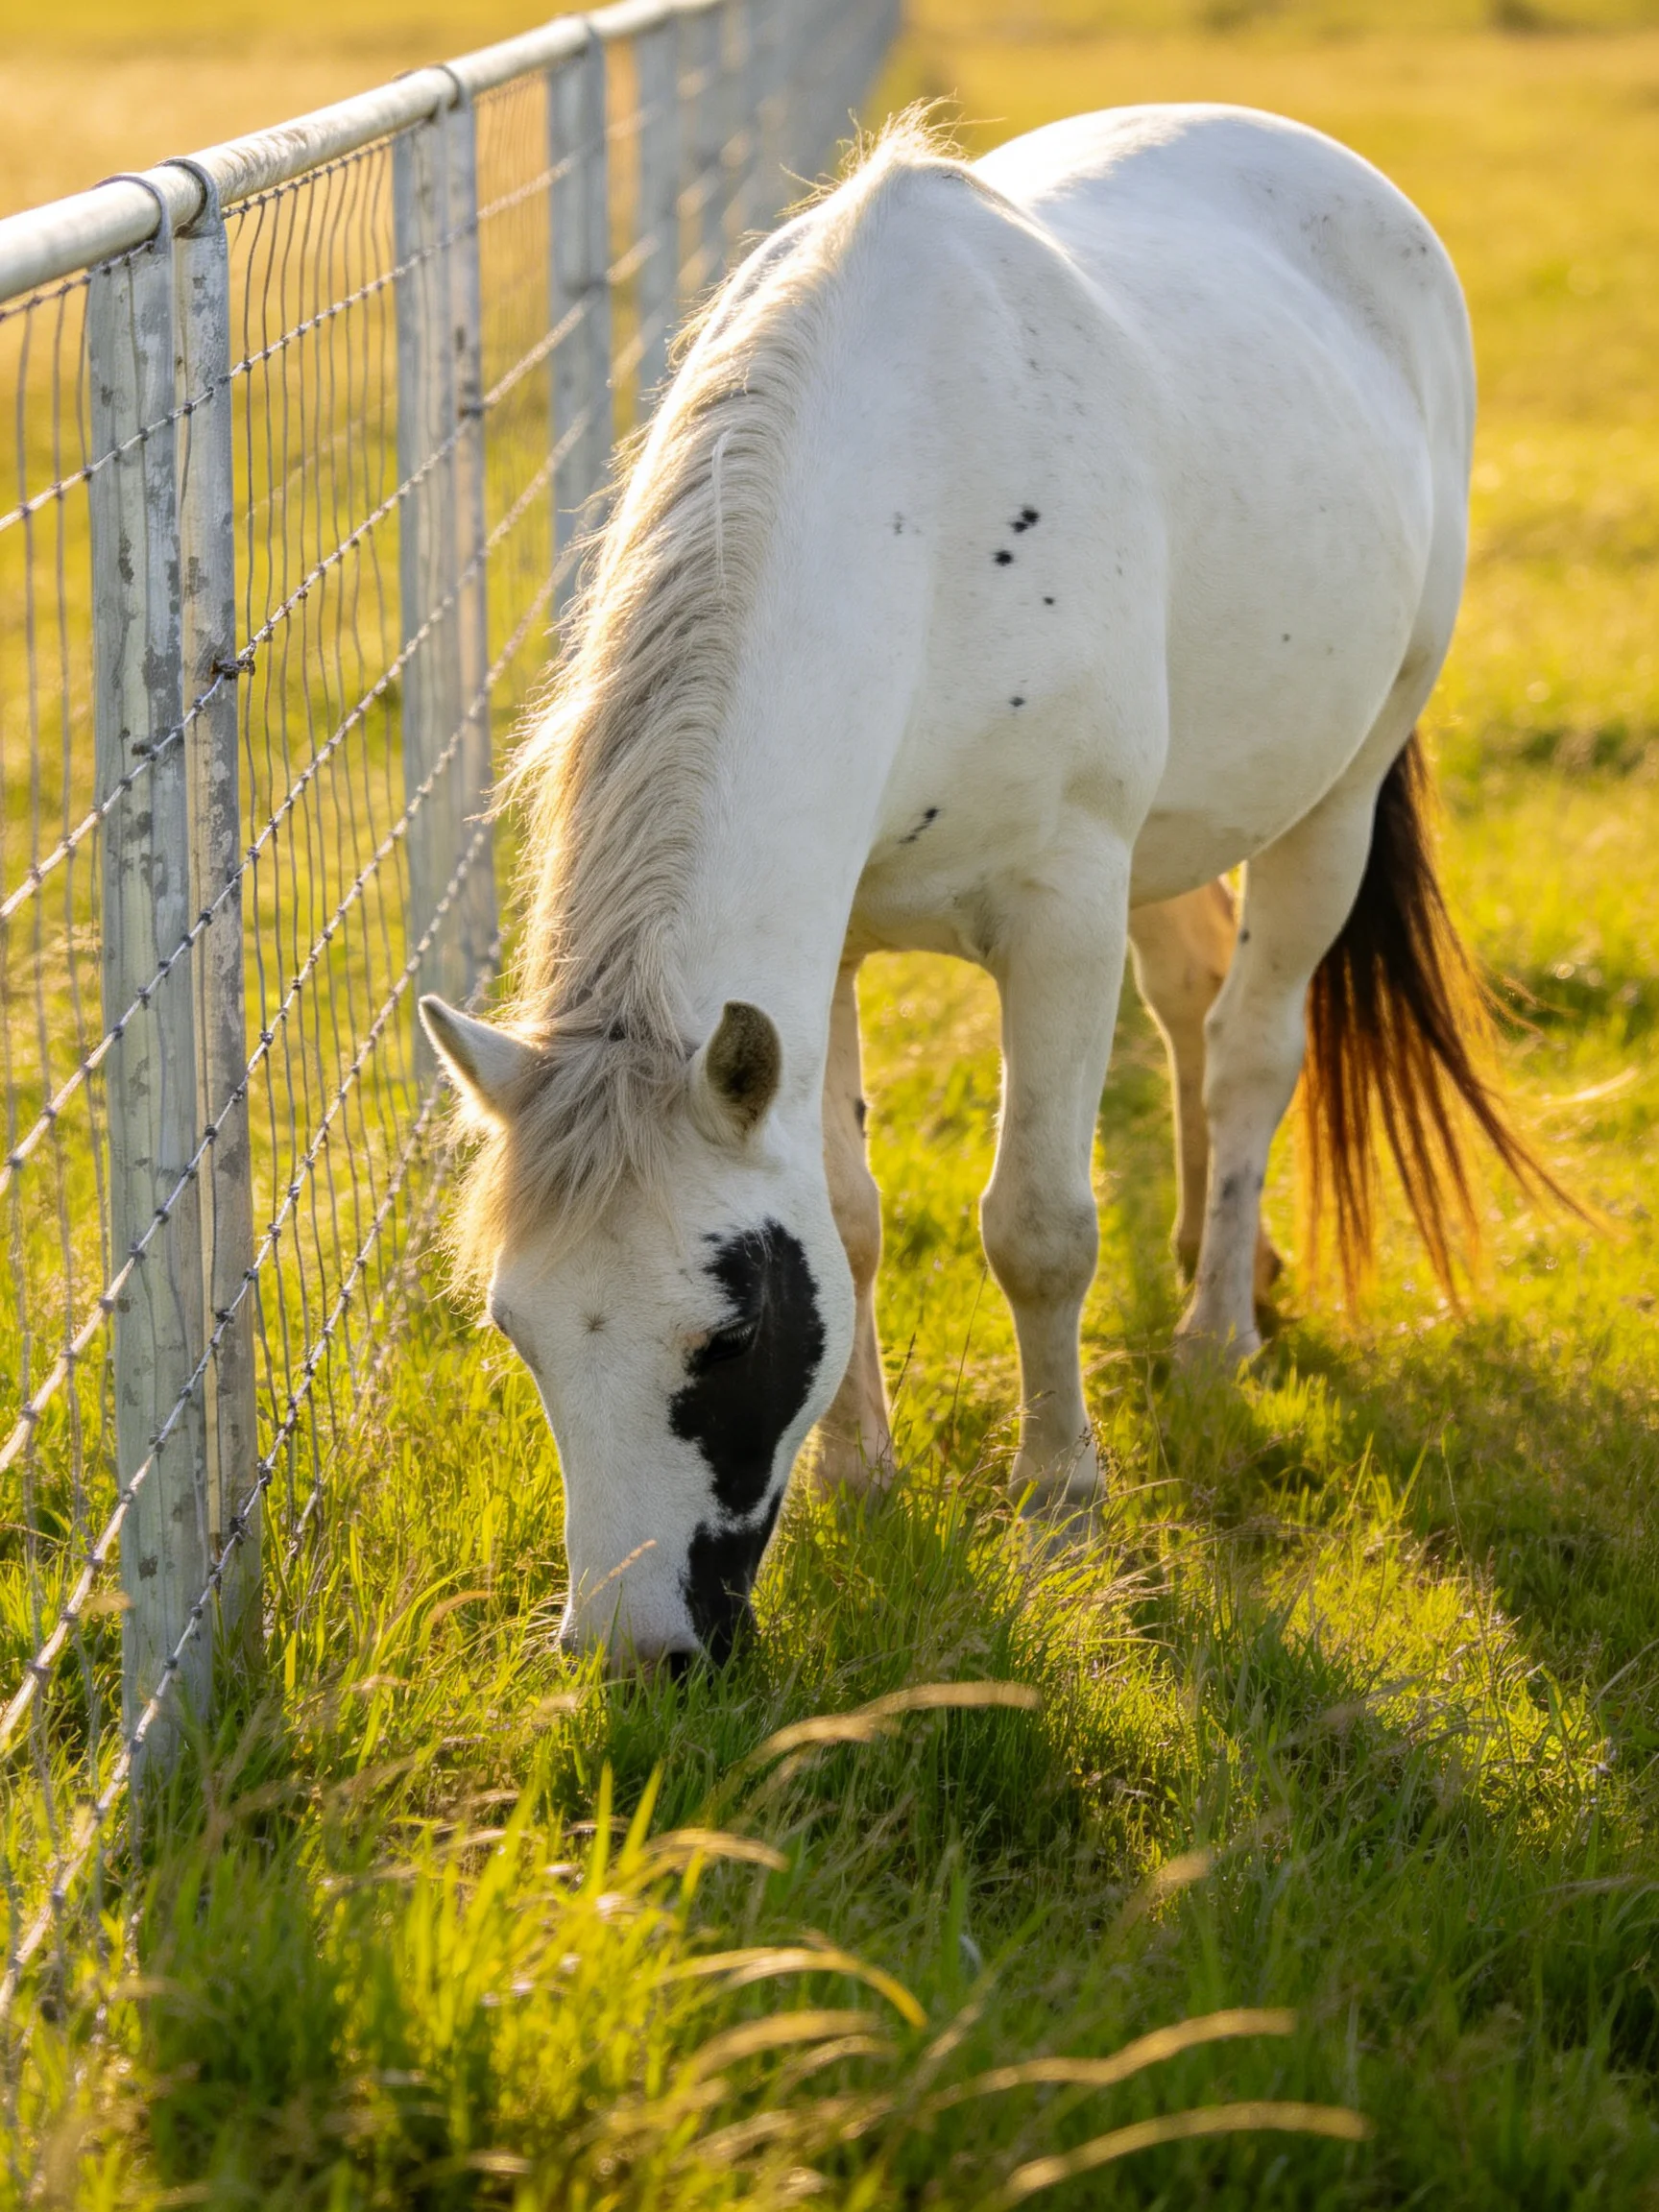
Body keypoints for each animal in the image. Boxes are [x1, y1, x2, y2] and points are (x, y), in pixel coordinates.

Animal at [420, 106, 1552, 1672]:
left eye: (726, 1333)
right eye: (518, 1331)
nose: (634, 1656)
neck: (920, 512)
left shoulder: (1059, 914)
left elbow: (1039, 1230)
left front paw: (1060, 1504)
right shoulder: (824, 955)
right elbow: (850, 1213)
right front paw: (861, 1476)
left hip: (1339, 789)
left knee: (1253, 1049)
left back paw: (1215, 1340)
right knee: (1192, 1009)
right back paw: (1219, 1254)